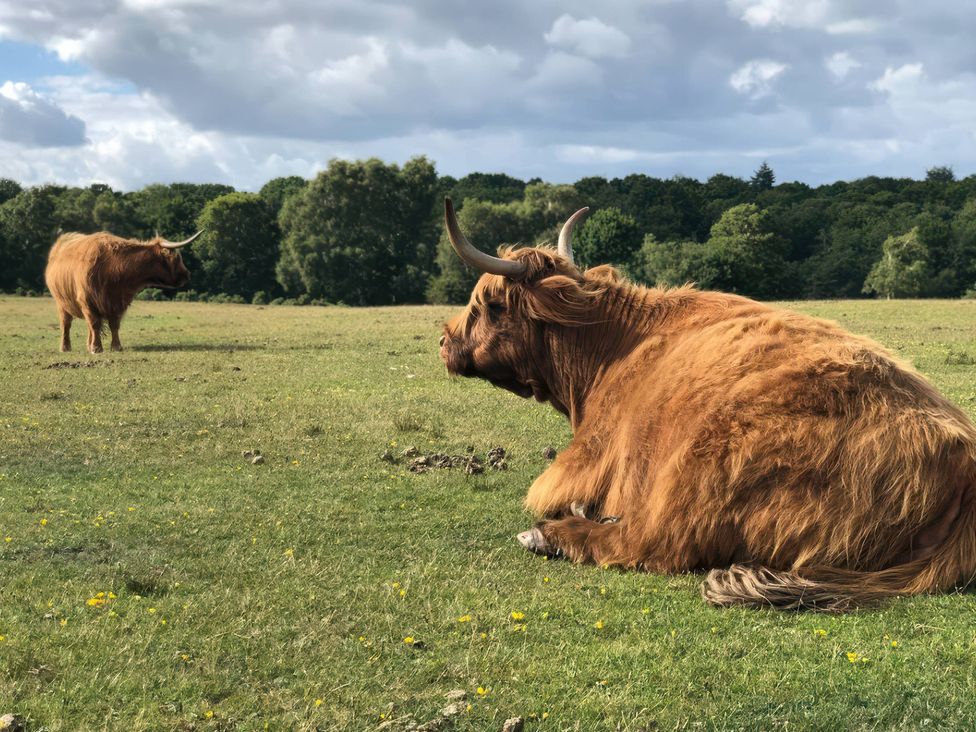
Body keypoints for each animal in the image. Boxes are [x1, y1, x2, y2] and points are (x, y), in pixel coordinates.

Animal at [44, 230, 201, 353]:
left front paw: (116, 347)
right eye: (177, 257)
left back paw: (88, 345)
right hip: (62, 303)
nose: (187, 274)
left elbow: (114, 325)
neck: (114, 268)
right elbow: (94, 324)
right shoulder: (88, 301)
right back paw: (65, 347)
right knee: (66, 324)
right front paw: (97, 348)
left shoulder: (117, 303)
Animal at [439, 198, 976, 611]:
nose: (444, 341)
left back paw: (551, 534)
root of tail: (962, 459)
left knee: (648, 542)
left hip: (700, 468)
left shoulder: (587, 456)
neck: (611, 347)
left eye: (491, 305)